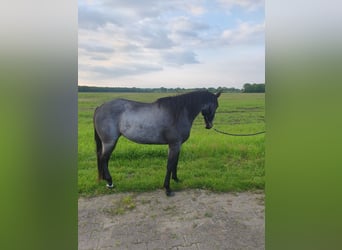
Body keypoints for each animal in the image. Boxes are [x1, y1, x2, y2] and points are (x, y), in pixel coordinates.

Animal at [93, 91, 222, 196]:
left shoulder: (176, 145)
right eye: (215, 106)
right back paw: (110, 182)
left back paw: (105, 179)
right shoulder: (174, 144)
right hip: (110, 142)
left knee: (103, 158)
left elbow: (175, 163)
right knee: (104, 158)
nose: (209, 125)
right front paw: (167, 189)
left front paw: (176, 179)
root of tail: (100, 107)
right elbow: (170, 165)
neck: (178, 113)